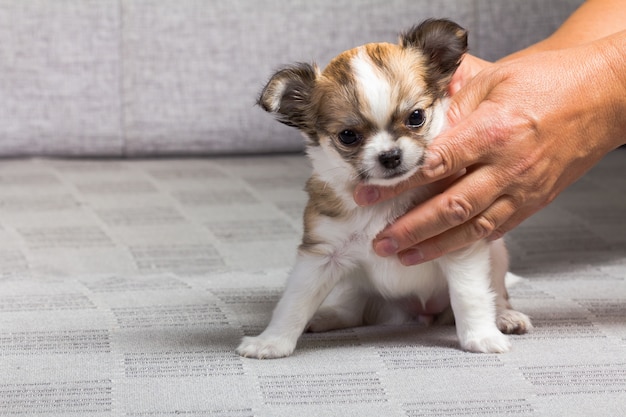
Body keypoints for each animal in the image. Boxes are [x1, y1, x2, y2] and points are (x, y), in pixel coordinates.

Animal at [236, 18, 528, 358]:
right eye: (348, 136)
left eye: (416, 117)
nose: (390, 156)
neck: (387, 200)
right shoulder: (322, 255)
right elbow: (294, 302)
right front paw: (271, 341)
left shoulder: (460, 245)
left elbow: (471, 296)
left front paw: (481, 336)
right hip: (353, 283)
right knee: (352, 310)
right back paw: (326, 317)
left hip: (497, 255)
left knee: (497, 293)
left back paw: (506, 317)